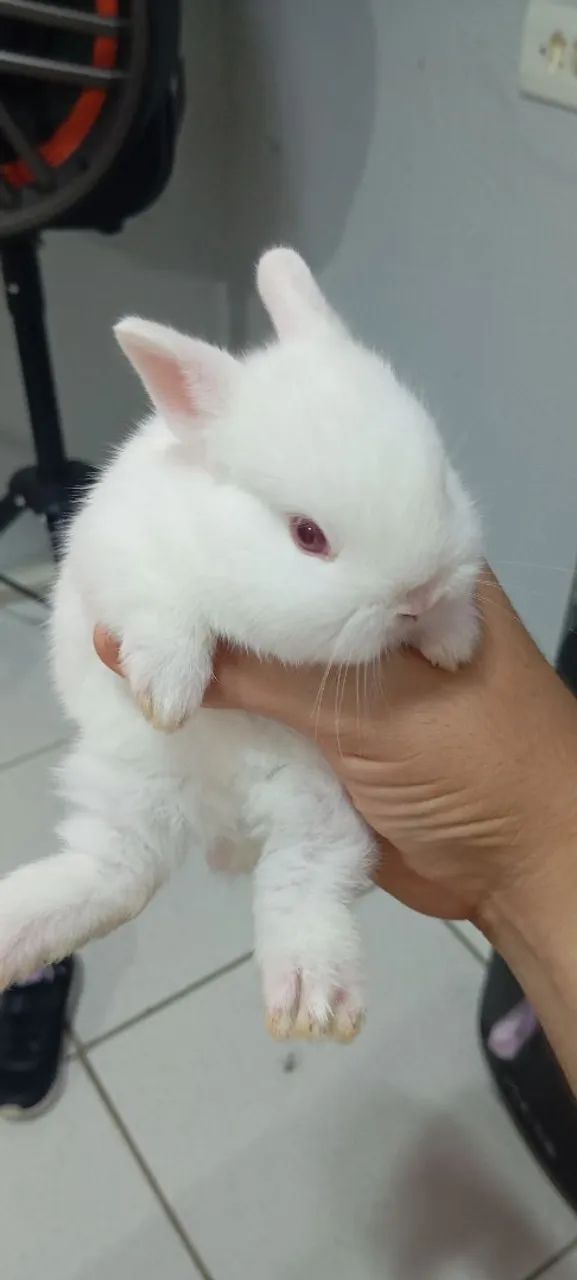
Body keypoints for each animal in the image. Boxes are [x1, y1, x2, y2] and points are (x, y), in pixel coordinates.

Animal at [0, 248, 482, 1042]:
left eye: (443, 479)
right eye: (307, 535)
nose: (414, 595)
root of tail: (221, 821)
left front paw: (454, 640)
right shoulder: (121, 559)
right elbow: (162, 613)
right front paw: (169, 690)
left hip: (321, 806)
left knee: (299, 881)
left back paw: (312, 997)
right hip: (130, 779)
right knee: (115, 875)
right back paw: (16, 932)